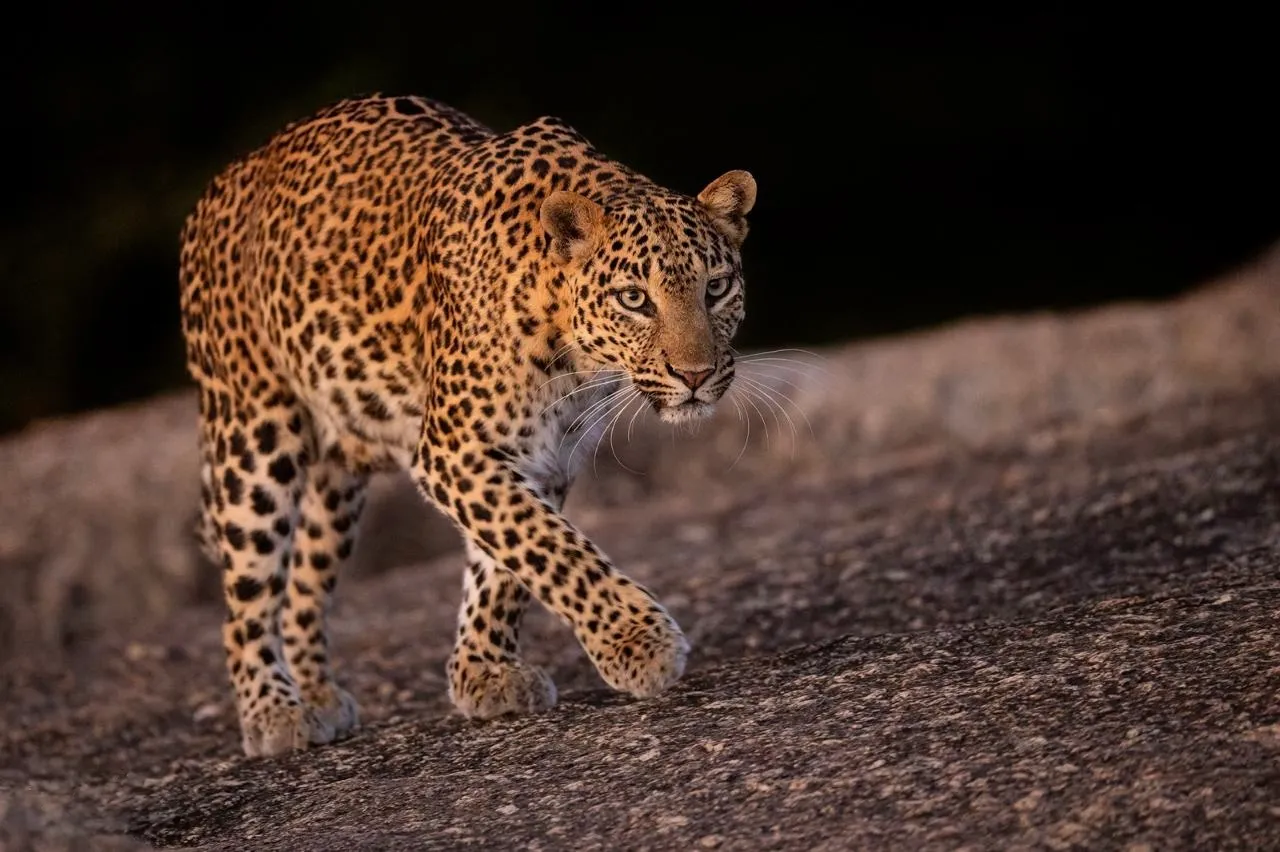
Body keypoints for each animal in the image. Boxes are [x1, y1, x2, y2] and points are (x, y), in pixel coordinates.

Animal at [178, 94, 756, 757]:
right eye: (634, 299)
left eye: (717, 288)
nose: (695, 374)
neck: (570, 348)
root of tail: (229, 177)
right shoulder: (455, 451)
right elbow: (548, 547)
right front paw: (637, 643)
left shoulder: (542, 456)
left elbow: (506, 564)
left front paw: (483, 672)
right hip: (254, 438)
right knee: (246, 598)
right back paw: (273, 711)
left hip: (337, 477)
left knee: (303, 577)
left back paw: (317, 695)